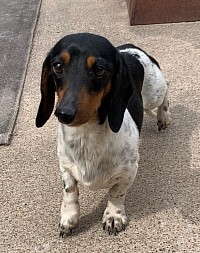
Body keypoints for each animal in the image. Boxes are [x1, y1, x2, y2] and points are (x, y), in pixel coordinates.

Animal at [35, 32, 170, 236]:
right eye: (57, 66)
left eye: (99, 69)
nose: (64, 113)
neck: (86, 134)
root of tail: (129, 48)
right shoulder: (65, 166)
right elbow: (70, 191)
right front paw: (69, 218)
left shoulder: (129, 171)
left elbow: (116, 193)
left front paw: (114, 216)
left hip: (155, 92)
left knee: (166, 91)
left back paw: (164, 116)